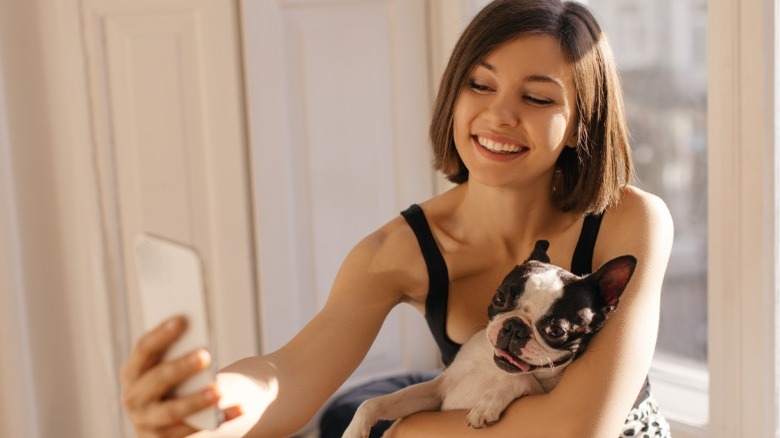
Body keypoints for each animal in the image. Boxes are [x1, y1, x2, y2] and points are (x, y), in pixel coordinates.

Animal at [344, 241, 636, 436]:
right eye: (499, 298)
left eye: (555, 331)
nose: (515, 327)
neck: (493, 370)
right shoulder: (437, 391)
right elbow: (376, 402)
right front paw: (354, 431)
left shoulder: (542, 393)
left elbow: (521, 379)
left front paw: (487, 404)